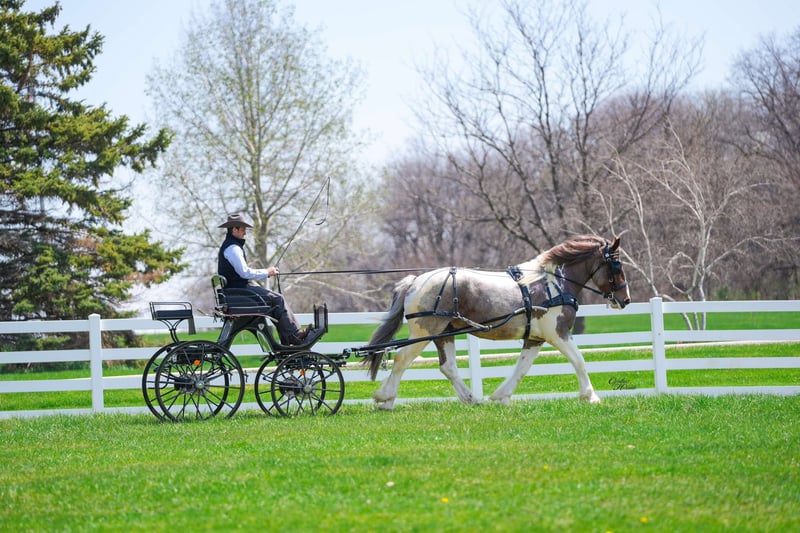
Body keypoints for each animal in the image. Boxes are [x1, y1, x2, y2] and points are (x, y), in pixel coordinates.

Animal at [363, 235, 630, 410]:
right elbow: (579, 360)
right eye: (617, 265)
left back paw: (472, 399)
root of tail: (415, 281)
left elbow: (522, 368)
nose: (625, 299)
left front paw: (501, 396)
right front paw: (590, 396)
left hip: (443, 333)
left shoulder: (535, 338)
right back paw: (385, 399)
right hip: (425, 331)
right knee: (401, 359)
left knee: (448, 367)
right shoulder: (558, 332)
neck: (553, 283)